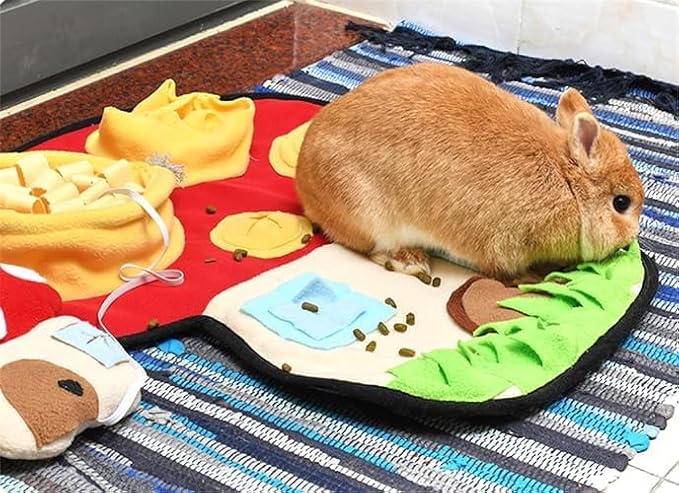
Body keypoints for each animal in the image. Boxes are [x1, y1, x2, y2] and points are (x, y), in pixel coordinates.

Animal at [295, 63, 644, 284]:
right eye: (622, 203)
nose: (630, 239)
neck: (567, 181)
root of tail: (304, 182)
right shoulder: (506, 245)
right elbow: (506, 269)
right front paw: (536, 277)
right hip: (371, 217)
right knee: (375, 250)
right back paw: (413, 262)